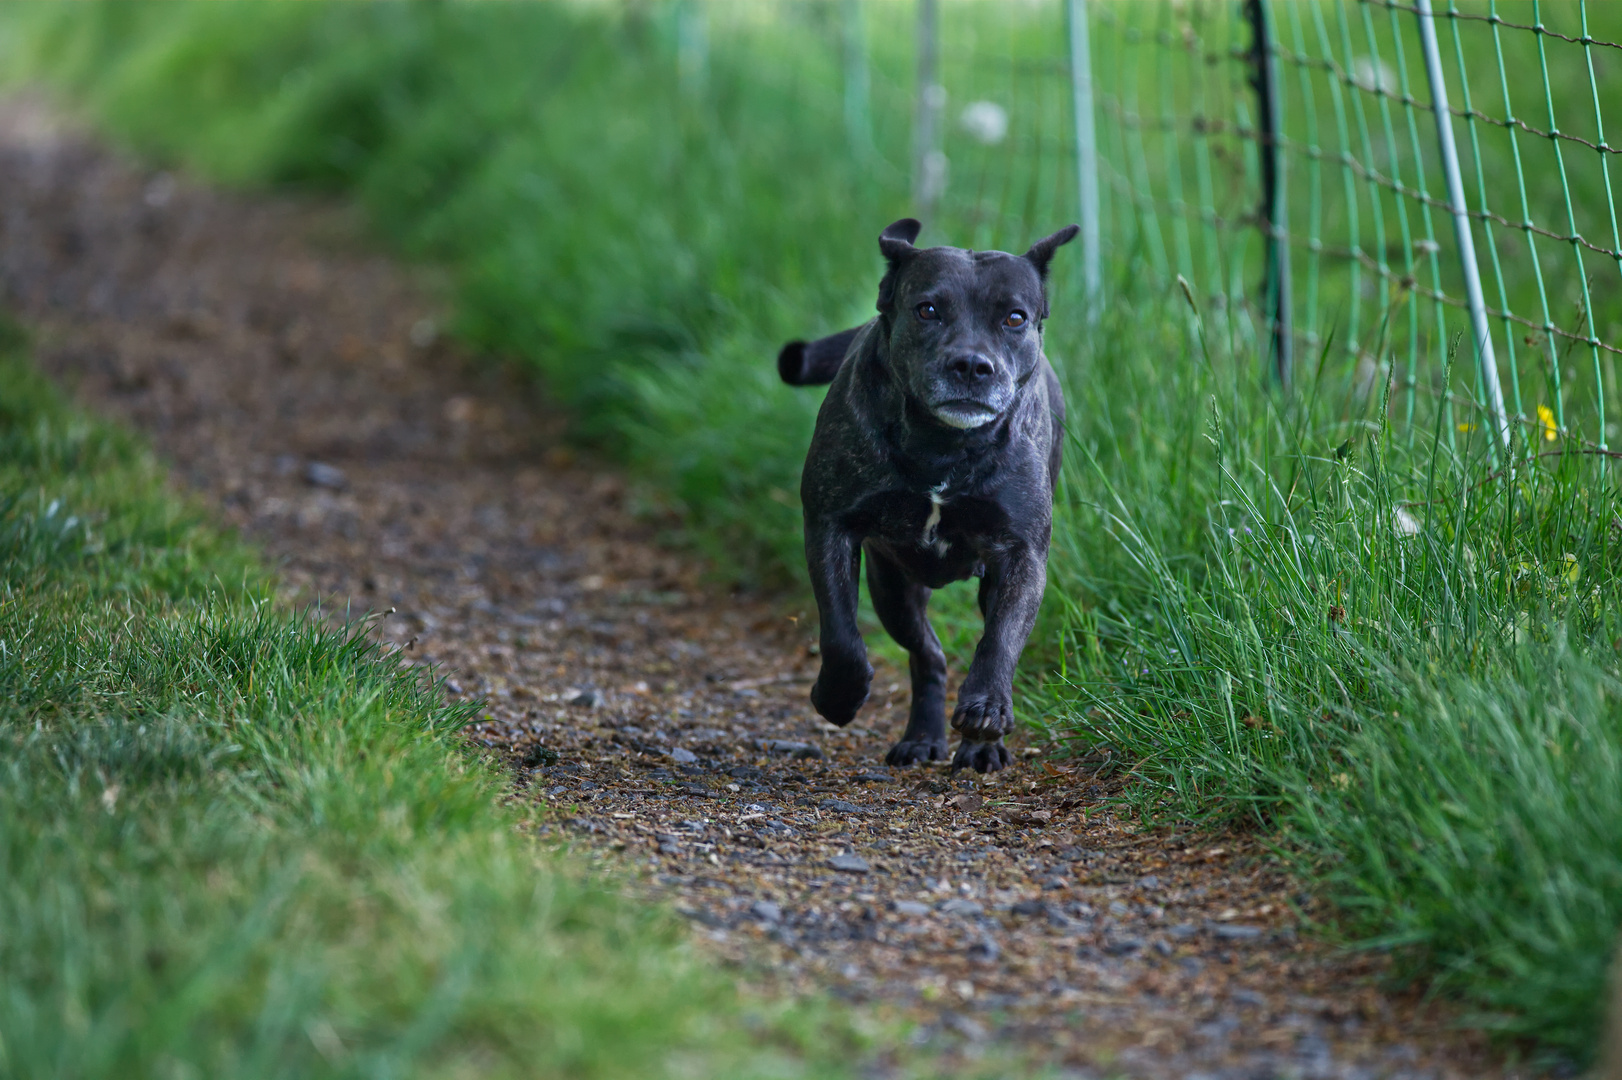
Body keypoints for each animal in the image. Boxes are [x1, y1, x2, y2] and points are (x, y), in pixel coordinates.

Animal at [781, 217, 1077, 765]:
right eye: (928, 310)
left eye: (1015, 318)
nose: (972, 365)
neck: (943, 445)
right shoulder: (831, 526)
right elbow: (841, 633)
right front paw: (838, 696)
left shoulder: (1021, 554)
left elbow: (1000, 640)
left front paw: (987, 710)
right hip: (894, 588)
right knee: (927, 653)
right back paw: (922, 737)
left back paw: (979, 748)